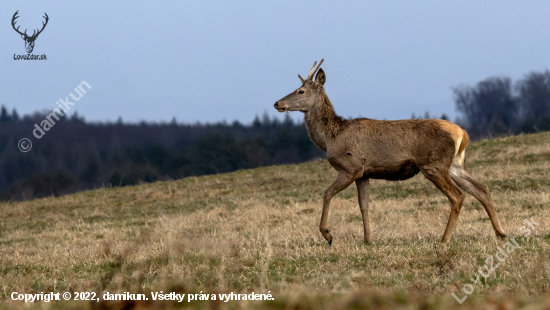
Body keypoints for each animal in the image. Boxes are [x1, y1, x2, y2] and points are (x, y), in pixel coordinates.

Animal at [274, 60, 508, 245]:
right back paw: (501, 233)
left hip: (433, 164)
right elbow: (364, 205)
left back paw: (444, 238)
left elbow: (327, 194)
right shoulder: (364, 173)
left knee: (458, 195)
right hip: (454, 165)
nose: (277, 103)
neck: (331, 138)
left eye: (301, 91)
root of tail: (462, 134)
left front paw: (328, 234)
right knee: (482, 189)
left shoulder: (351, 167)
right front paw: (368, 239)